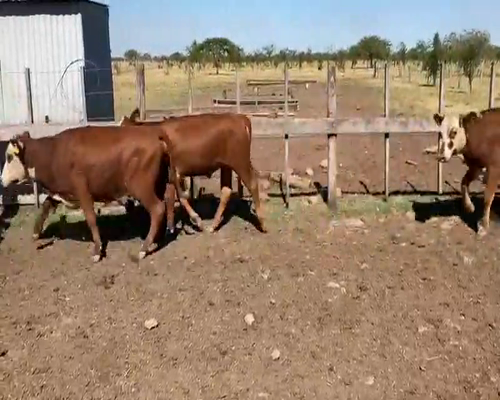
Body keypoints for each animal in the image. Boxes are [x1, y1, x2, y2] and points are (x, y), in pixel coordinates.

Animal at [0, 126, 178, 262]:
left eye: (9, 157)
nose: (1, 180)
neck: (53, 153)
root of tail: (155, 133)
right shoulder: (60, 192)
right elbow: (45, 207)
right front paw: (36, 233)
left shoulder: (83, 190)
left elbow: (91, 218)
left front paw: (97, 250)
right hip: (159, 183)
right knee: (165, 204)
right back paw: (157, 238)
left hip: (141, 187)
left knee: (157, 209)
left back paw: (144, 248)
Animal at [119, 109, 266, 234]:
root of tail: (240, 118)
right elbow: (172, 198)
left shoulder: (173, 173)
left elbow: (177, 197)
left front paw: (189, 222)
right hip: (226, 166)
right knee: (226, 190)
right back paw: (213, 225)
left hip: (240, 162)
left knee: (253, 183)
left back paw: (262, 223)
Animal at [432, 107, 500, 238]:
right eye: (440, 133)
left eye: (454, 132)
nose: (441, 156)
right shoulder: (475, 167)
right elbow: (464, 182)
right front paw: (469, 206)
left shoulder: (495, 169)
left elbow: (488, 198)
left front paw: (483, 225)